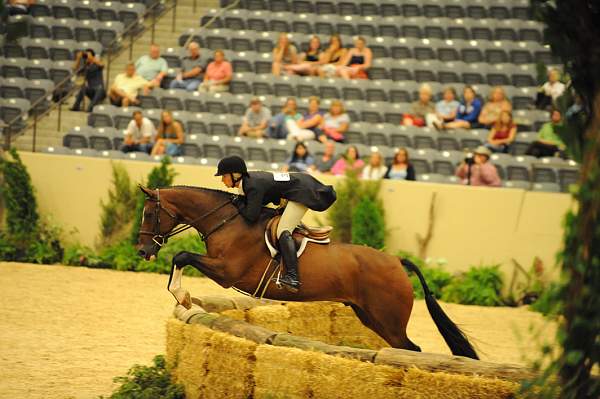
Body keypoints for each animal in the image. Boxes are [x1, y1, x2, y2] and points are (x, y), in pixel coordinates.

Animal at [137, 186, 478, 360]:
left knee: (410, 350)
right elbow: (181, 258)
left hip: (389, 319)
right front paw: (182, 297)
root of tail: (396, 261)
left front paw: (182, 295)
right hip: (371, 317)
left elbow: (181, 255)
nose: (142, 251)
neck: (228, 221)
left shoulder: (227, 271)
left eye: (150, 213)